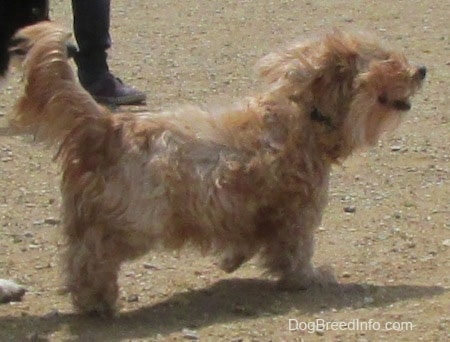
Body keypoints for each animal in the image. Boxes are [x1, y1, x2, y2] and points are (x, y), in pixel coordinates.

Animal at [9, 21, 426, 316]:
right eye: (387, 59)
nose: (422, 69)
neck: (304, 115)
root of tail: (107, 124)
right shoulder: (296, 212)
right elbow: (295, 251)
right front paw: (307, 278)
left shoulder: (246, 209)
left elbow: (248, 239)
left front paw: (232, 259)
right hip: (135, 221)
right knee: (91, 255)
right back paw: (96, 298)